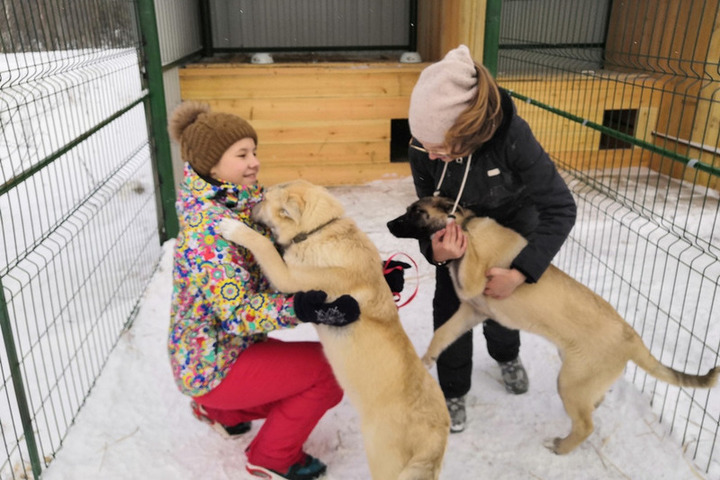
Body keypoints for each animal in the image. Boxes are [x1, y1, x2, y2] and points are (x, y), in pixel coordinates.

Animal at [218, 181, 450, 480]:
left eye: (265, 198)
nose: (243, 207)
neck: (320, 229)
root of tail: (436, 436)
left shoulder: (288, 276)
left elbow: (265, 247)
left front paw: (234, 229)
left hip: (384, 460)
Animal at [386, 195, 716, 454]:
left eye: (416, 211)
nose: (390, 225)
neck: (467, 225)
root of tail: (632, 338)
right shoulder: (471, 310)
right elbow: (443, 333)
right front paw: (427, 359)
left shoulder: (475, 279)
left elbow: (468, 254)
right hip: (580, 379)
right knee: (591, 408)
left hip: (570, 382)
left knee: (585, 426)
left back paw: (560, 446)